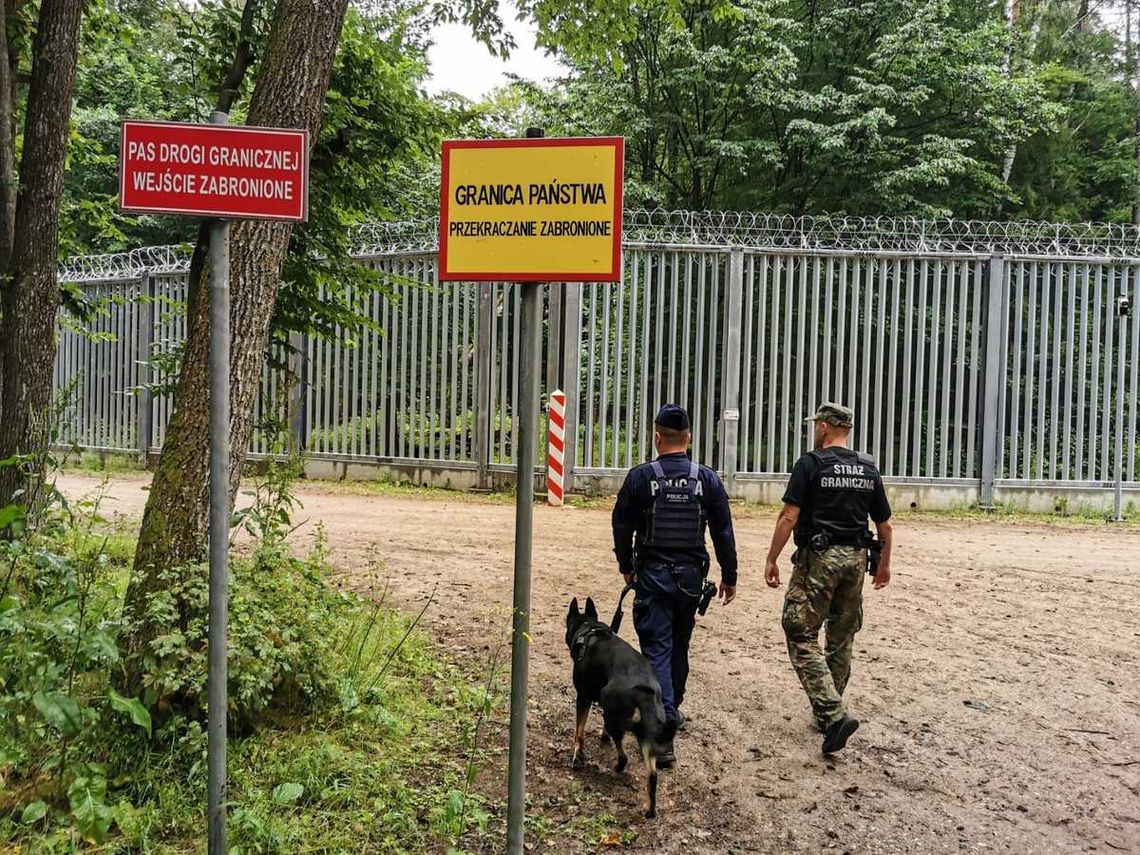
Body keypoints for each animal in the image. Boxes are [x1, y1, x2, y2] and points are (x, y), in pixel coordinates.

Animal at [563, 597, 670, 820]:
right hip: (645, 735)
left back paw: (617, 767)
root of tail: (644, 690)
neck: (589, 630)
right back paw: (650, 810)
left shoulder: (583, 697)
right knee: (652, 775)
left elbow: (579, 732)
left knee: (623, 756)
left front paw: (577, 757)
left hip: (617, 718)